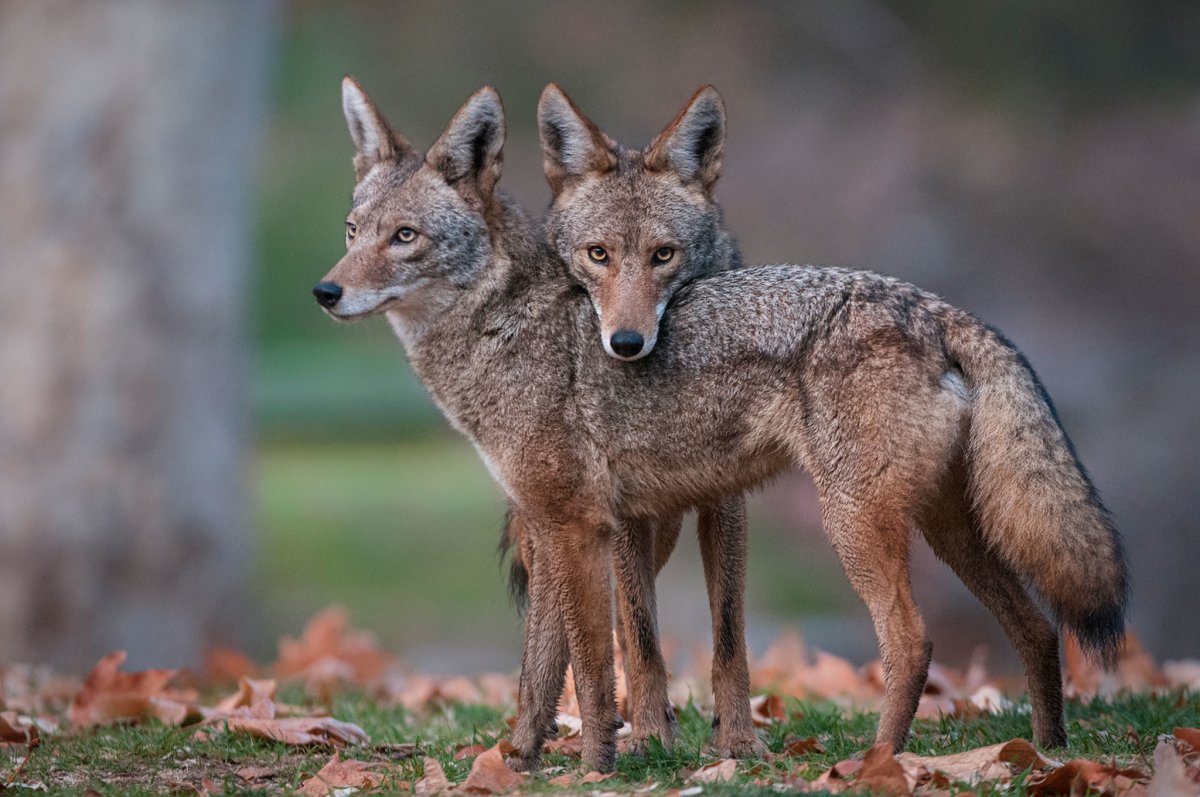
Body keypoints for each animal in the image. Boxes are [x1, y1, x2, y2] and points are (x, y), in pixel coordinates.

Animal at [315, 78, 1127, 774]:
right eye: (353, 231)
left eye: (405, 237)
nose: (325, 291)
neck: (505, 328)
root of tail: (933, 306)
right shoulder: (552, 529)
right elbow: (540, 672)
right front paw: (514, 762)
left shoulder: (583, 528)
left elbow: (596, 669)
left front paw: (597, 768)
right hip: (946, 530)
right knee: (1038, 628)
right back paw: (1048, 755)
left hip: (857, 528)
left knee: (912, 642)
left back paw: (875, 762)